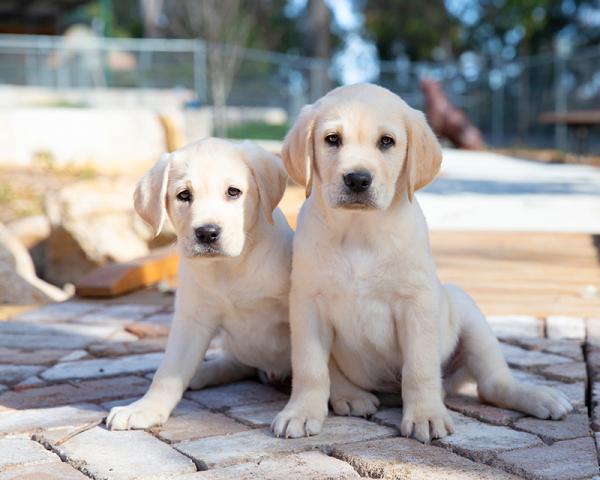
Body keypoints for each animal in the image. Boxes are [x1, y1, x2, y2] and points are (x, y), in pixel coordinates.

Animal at [108, 139, 296, 432]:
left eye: (233, 192)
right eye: (184, 195)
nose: (207, 233)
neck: (229, 268)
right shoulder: (192, 318)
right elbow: (168, 372)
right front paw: (145, 408)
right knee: (235, 362)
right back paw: (200, 373)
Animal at [270, 84, 572, 444]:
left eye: (387, 141)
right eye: (332, 139)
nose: (357, 179)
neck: (358, 232)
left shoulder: (417, 303)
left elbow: (419, 367)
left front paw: (425, 415)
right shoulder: (307, 304)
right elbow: (311, 368)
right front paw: (301, 411)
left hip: (467, 311)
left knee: (492, 384)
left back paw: (539, 396)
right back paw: (351, 396)